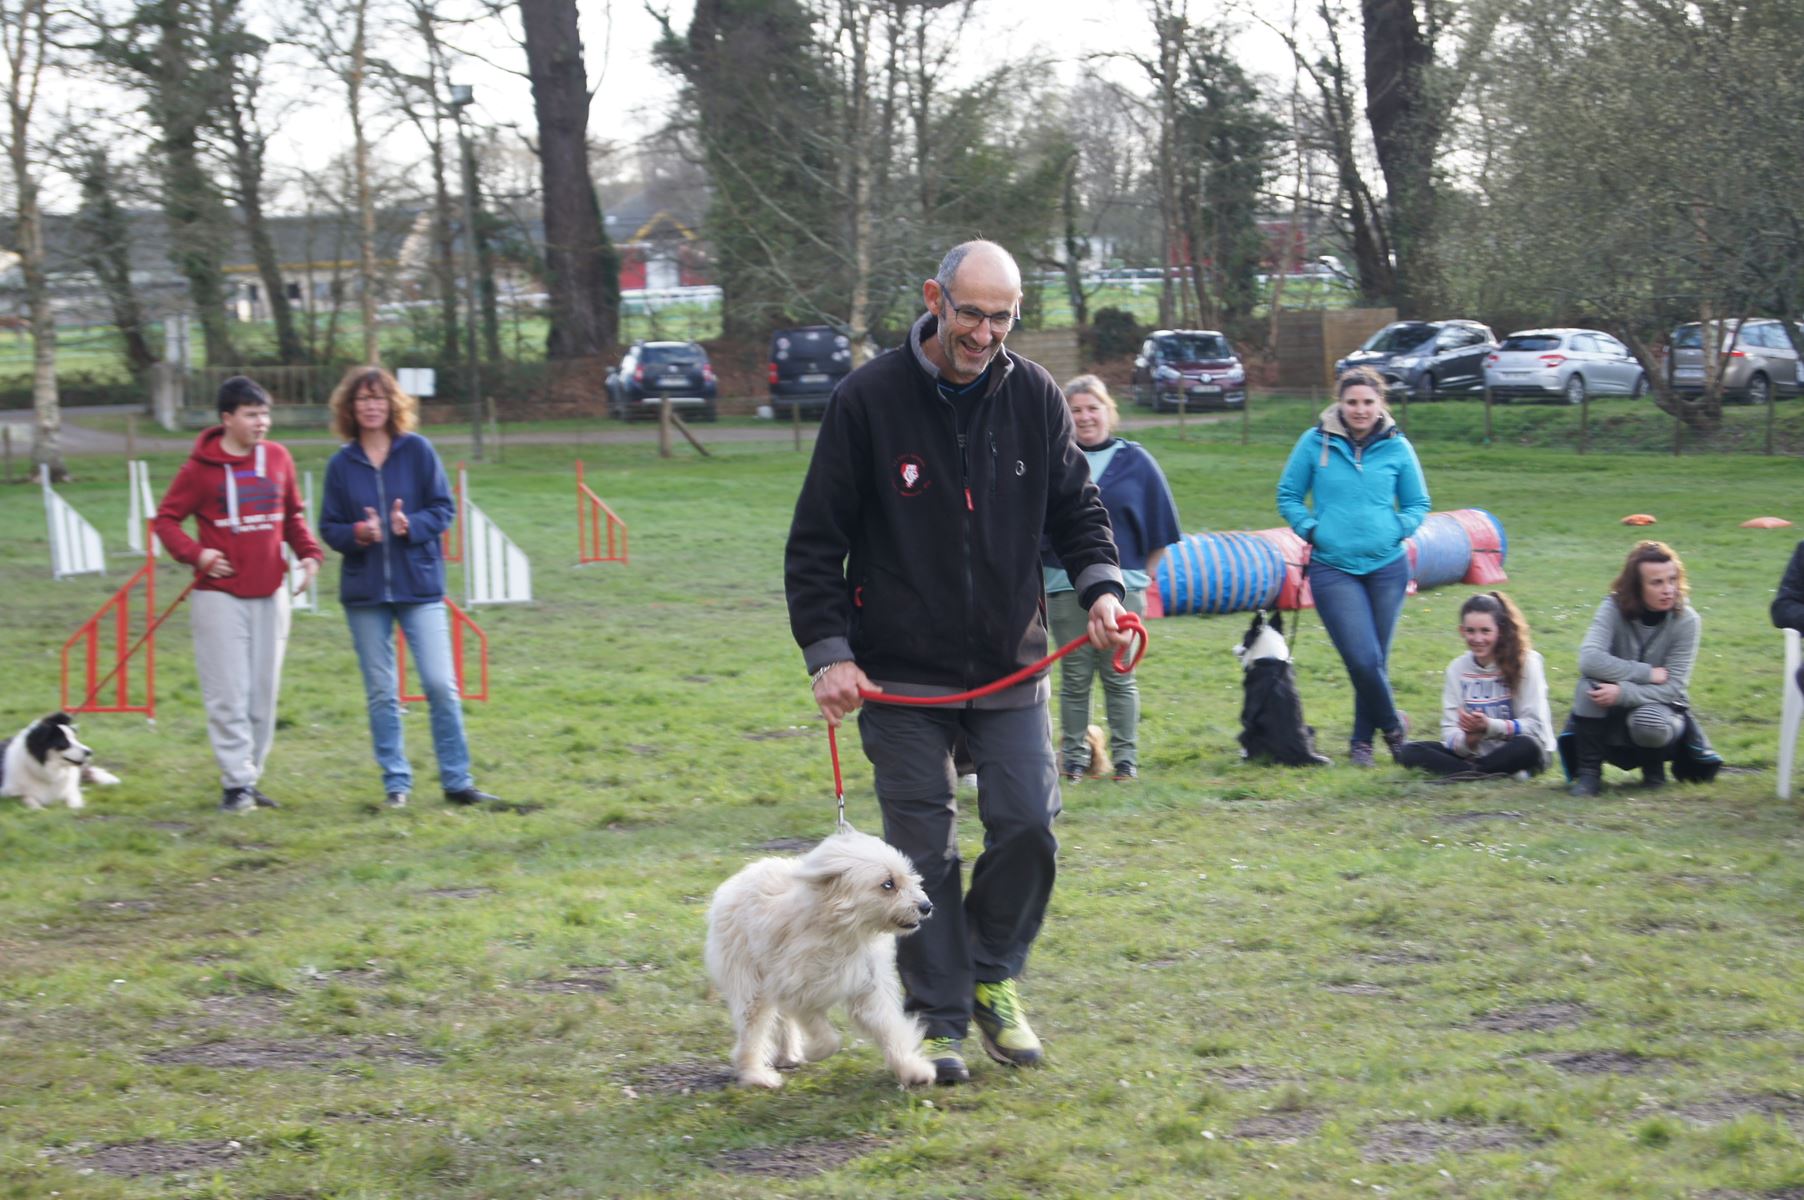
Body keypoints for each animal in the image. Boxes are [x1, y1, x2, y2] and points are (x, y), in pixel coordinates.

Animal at [703, 830, 938, 1089]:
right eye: (888, 884)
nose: (926, 906)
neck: (845, 930)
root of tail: (736, 881)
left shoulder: (869, 987)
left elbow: (890, 1028)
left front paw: (912, 1069)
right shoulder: (796, 990)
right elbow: (825, 1034)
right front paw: (815, 1051)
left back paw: (787, 1055)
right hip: (750, 983)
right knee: (752, 1028)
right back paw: (755, 1074)